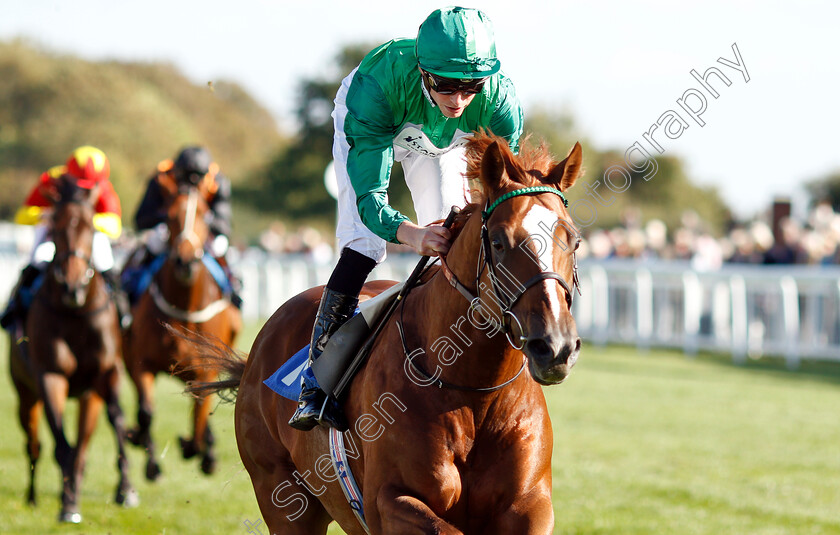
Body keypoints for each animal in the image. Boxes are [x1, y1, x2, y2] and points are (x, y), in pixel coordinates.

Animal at [8, 177, 137, 524]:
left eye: (90, 228)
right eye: (55, 225)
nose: (72, 286)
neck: (76, 313)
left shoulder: (104, 374)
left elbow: (114, 423)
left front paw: (126, 490)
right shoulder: (50, 376)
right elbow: (61, 443)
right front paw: (68, 505)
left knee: (93, 436)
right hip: (25, 394)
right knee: (34, 445)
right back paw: (33, 496)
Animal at [124, 173, 243, 482]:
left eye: (204, 214)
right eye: (169, 216)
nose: (185, 260)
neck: (185, 307)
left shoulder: (205, 369)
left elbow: (200, 415)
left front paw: (195, 448)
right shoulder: (141, 363)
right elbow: (146, 412)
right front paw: (151, 464)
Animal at [191, 133, 584, 535]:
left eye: (574, 241)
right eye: (501, 242)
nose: (555, 347)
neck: (473, 392)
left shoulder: (532, 504)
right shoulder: (388, 501)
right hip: (284, 499)